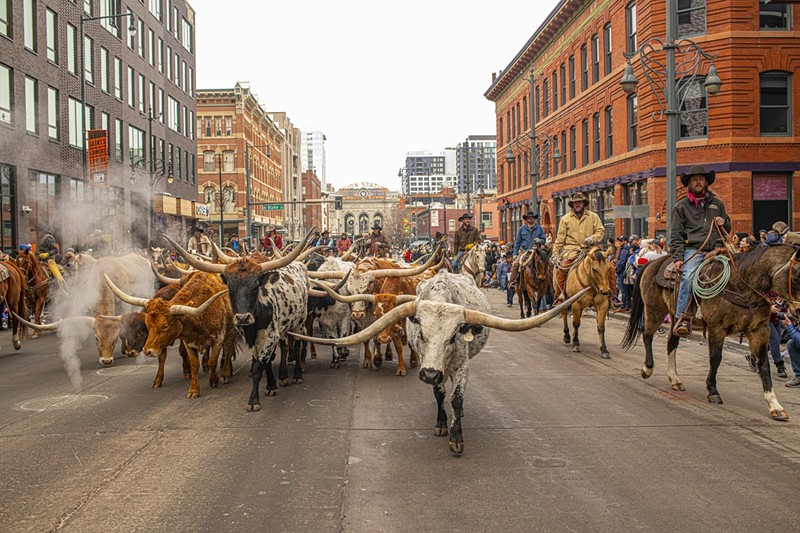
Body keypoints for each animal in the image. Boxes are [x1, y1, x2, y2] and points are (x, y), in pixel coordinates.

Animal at [624, 243, 800, 422]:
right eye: (795, 278)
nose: (798, 312)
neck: (743, 286)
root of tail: (652, 263)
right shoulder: (717, 328)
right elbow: (715, 359)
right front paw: (713, 391)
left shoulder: (760, 330)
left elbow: (763, 364)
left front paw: (774, 405)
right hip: (654, 309)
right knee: (647, 335)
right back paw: (647, 369)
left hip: (675, 316)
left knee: (671, 342)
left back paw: (675, 379)